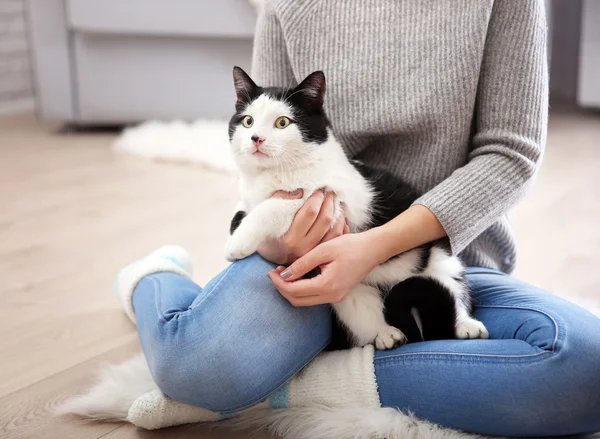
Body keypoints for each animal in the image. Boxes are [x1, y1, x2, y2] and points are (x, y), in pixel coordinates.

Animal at [225, 68, 488, 350]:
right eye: (248, 121)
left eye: (282, 122)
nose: (256, 138)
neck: (272, 175)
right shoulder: (248, 199)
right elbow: (240, 213)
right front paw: (237, 232)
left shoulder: (338, 201)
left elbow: (277, 204)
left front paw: (237, 244)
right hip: (348, 291)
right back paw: (387, 334)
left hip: (440, 258)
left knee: (454, 290)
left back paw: (466, 326)